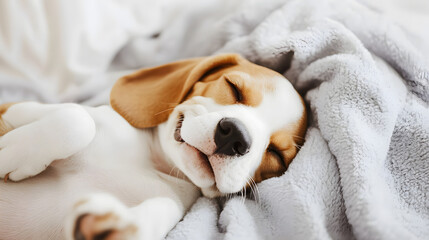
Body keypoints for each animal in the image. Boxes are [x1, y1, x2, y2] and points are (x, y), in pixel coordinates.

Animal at [0, 53, 306, 239]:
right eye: (233, 88)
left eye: (276, 154)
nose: (235, 137)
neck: (152, 162)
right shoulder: (11, 108)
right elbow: (77, 119)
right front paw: (9, 154)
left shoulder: (175, 202)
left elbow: (164, 207)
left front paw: (120, 226)